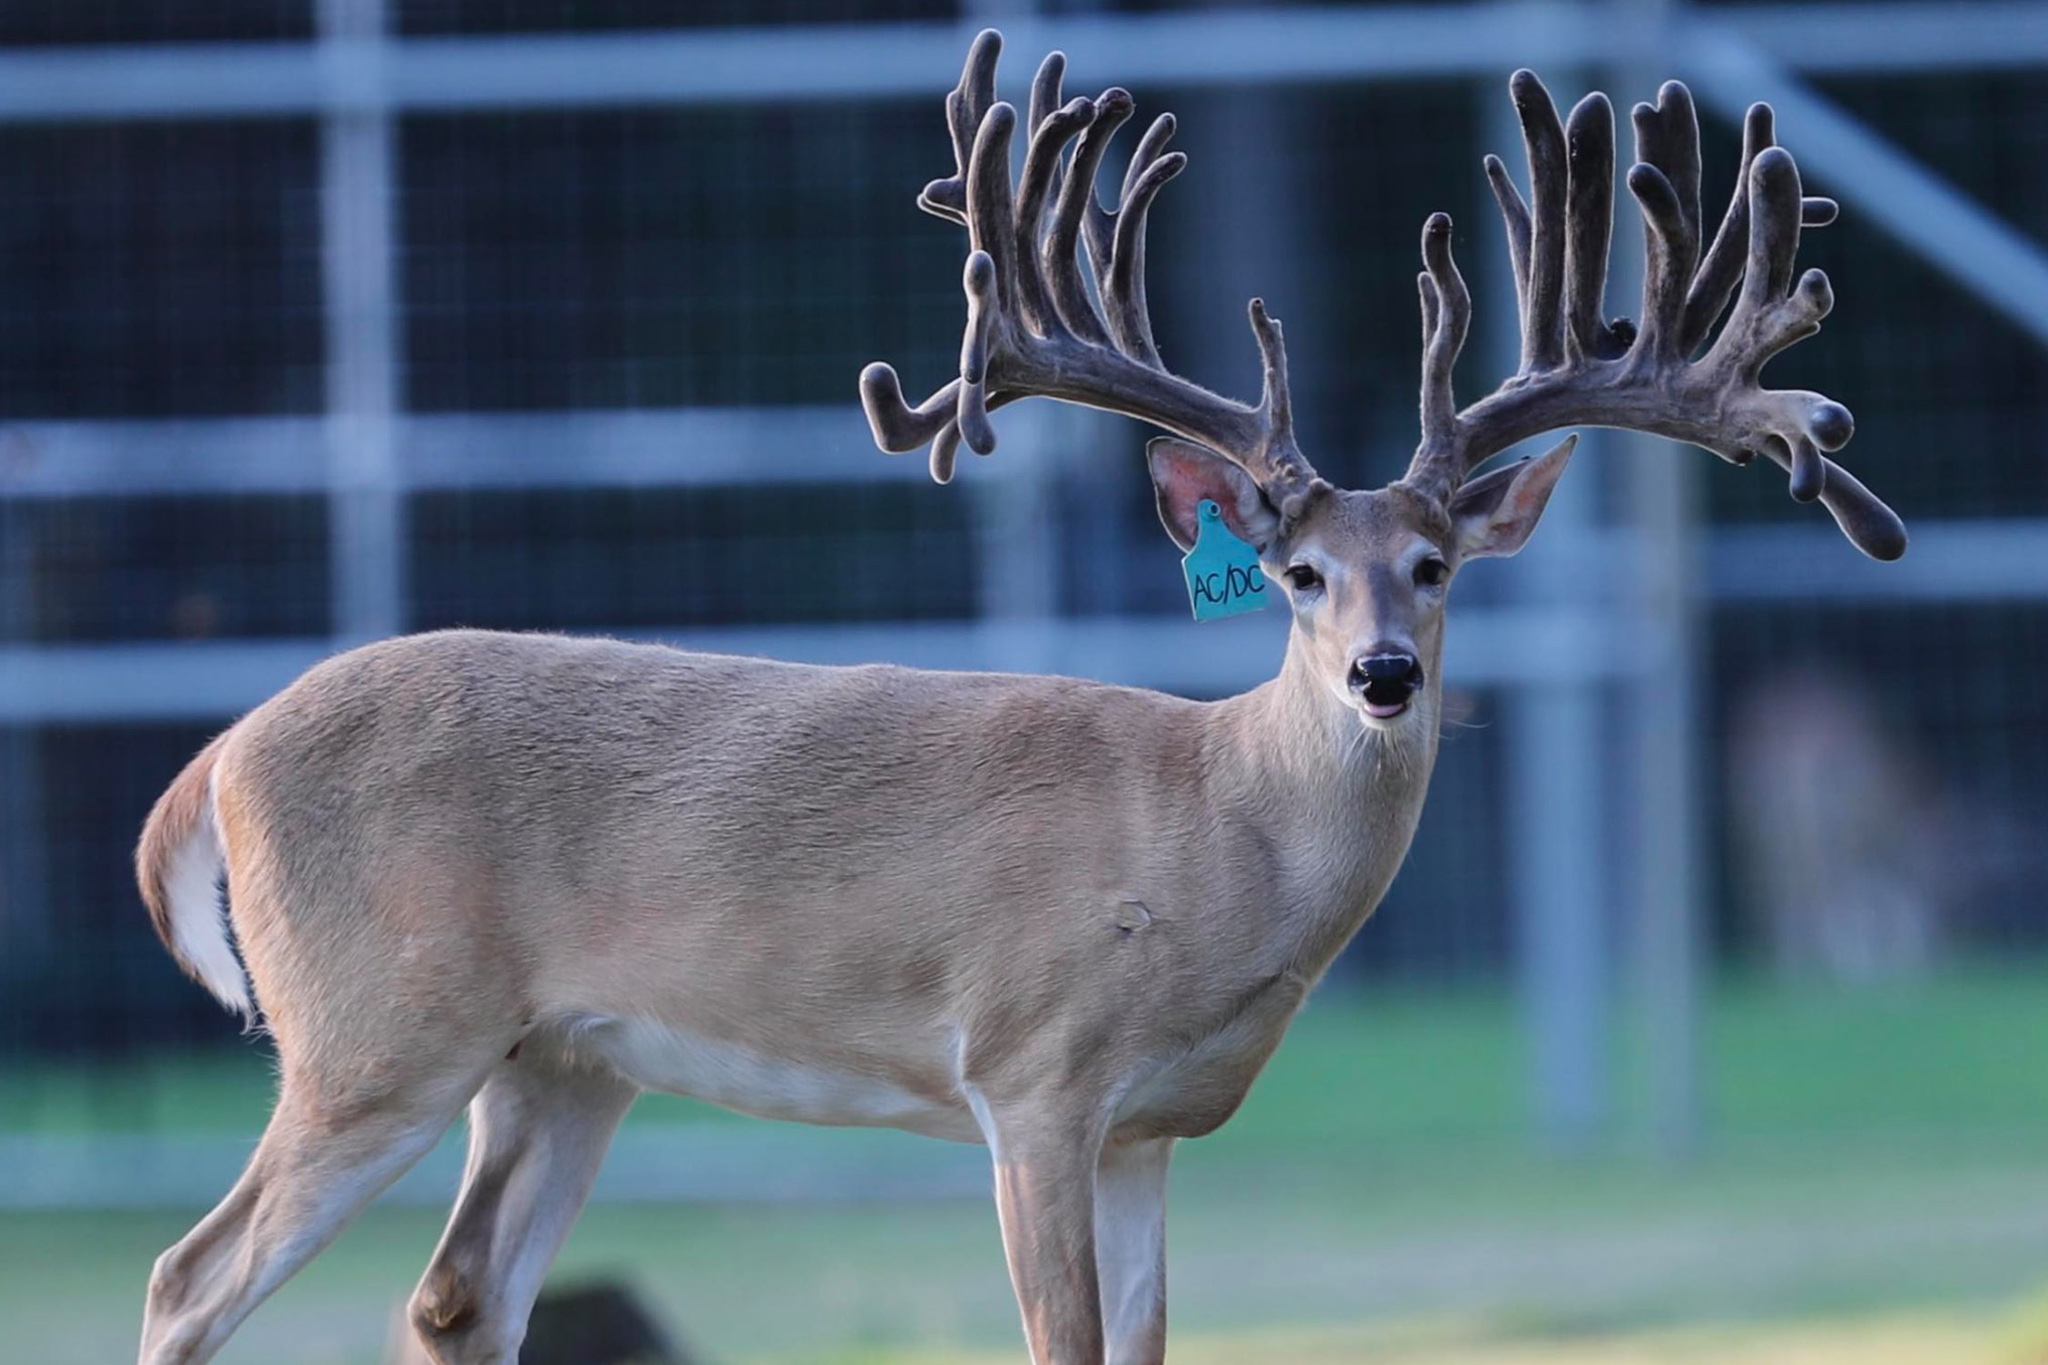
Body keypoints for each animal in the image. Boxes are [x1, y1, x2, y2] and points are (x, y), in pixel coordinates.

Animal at [132, 29, 1900, 1365]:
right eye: (1297, 572)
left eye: (1437, 565)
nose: (1386, 675)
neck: (1217, 832)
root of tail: (208, 769)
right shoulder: (1032, 1066)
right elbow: (1062, 1343)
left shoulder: (1151, 1130)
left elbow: (1148, 1346)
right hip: (377, 1027)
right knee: (186, 1277)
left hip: (560, 1058)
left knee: (454, 1299)